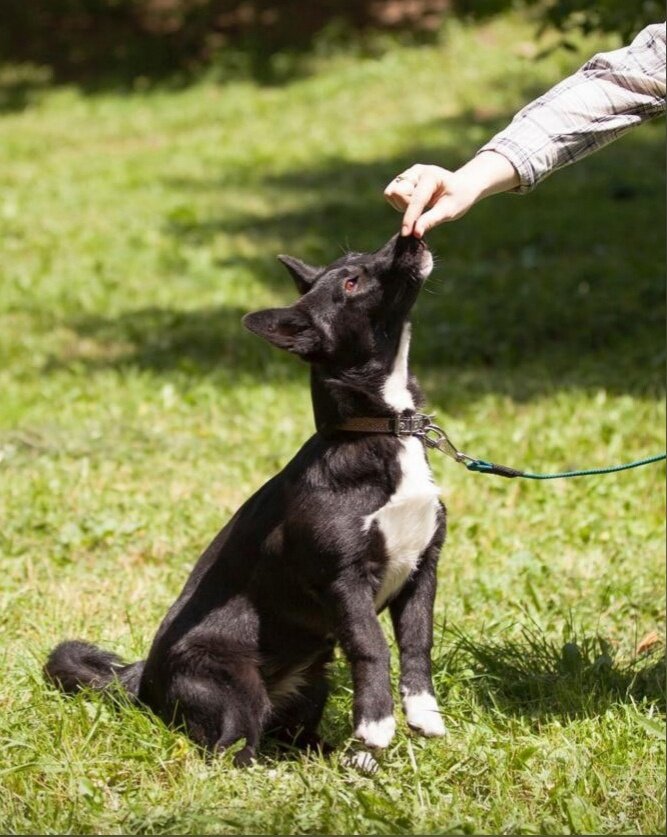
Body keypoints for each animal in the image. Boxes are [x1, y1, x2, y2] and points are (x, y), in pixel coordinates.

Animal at [44, 233, 446, 764]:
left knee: (291, 734)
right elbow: (372, 646)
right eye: (351, 283)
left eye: (361, 257)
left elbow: (418, 642)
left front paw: (423, 713)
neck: (380, 429)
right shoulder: (345, 581)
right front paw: (376, 723)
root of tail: (142, 679)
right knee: (232, 750)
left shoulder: (421, 570)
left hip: (312, 680)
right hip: (233, 687)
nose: (410, 236)